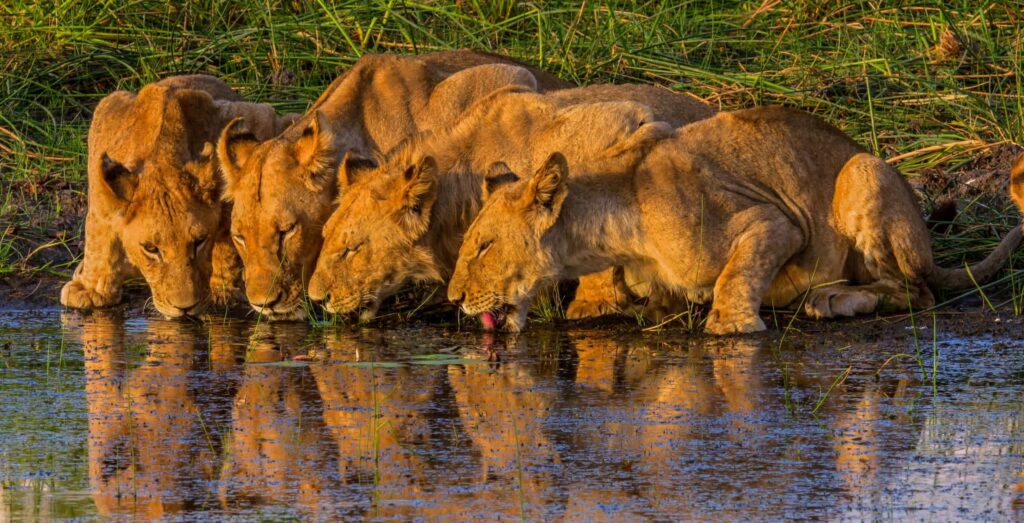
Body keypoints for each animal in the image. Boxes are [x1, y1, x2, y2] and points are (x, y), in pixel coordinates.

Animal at [60, 75, 296, 318]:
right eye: (151, 249)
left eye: (199, 242)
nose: (184, 308)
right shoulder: (105, 120)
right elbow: (97, 233)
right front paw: (90, 290)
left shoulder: (257, 116)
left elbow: (229, 239)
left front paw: (222, 291)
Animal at [447, 106, 1023, 334]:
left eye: (483, 246)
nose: (454, 299)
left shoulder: (775, 220)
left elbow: (737, 273)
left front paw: (731, 324)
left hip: (863, 170)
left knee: (915, 291)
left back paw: (832, 300)